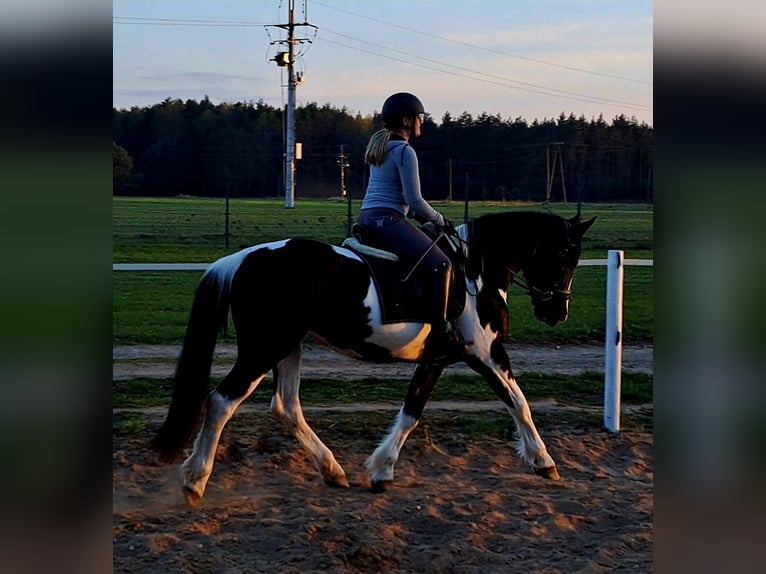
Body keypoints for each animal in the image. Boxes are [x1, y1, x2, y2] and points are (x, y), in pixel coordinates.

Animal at [151, 210, 595, 506]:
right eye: (566, 255)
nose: (557, 313)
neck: (475, 271)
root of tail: (240, 259)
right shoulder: (484, 353)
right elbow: (518, 403)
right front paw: (543, 461)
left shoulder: (437, 359)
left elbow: (413, 409)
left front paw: (381, 469)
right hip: (265, 348)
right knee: (221, 401)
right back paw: (195, 481)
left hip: (288, 348)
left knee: (286, 406)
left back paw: (332, 471)